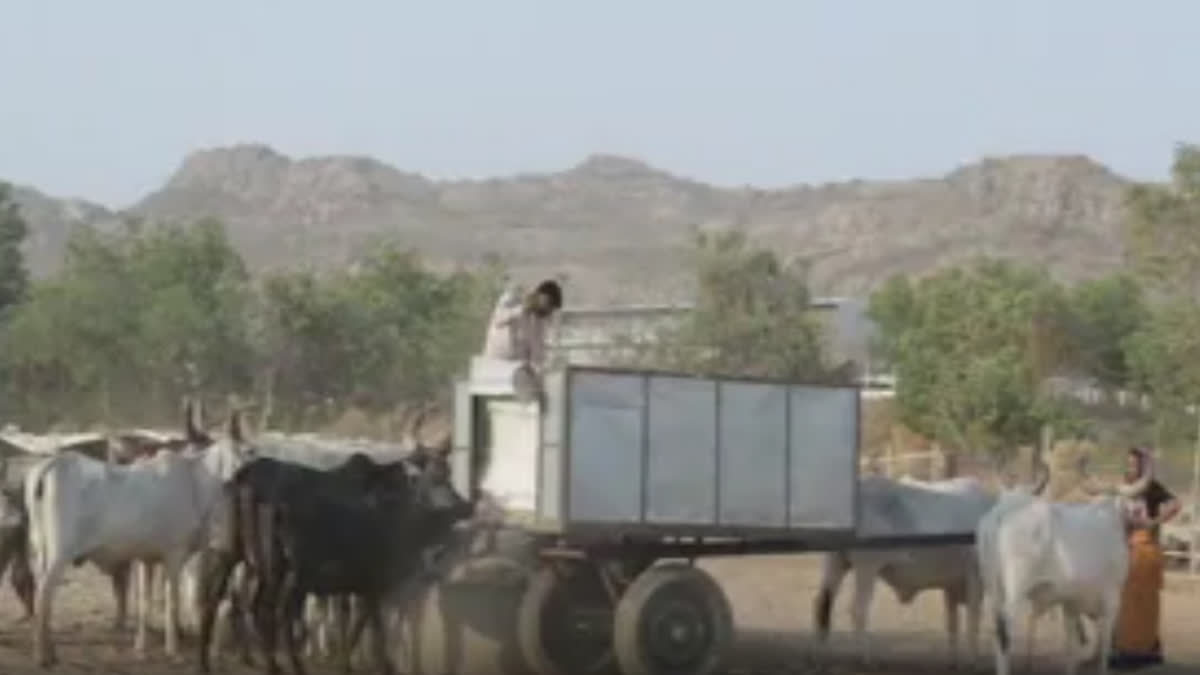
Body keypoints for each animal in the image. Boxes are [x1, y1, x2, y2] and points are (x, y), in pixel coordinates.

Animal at [25, 408, 253, 658]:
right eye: (249, 451)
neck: (196, 483)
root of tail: (52, 463)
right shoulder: (174, 554)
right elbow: (172, 600)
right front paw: (173, 649)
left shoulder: (146, 559)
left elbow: (145, 601)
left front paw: (140, 647)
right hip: (60, 553)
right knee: (44, 593)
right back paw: (43, 656)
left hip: (41, 549)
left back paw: (49, 650)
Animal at [816, 473, 993, 667]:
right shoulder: (975, 579)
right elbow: (973, 622)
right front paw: (973, 659)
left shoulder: (951, 585)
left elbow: (952, 623)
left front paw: (953, 660)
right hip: (867, 568)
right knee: (858, 610)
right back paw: (865, 657)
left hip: (836, 563)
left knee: (823, 604)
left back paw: (823, 653)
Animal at [979, 470, 1128, 667]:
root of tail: (1001, 514)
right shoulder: (1111, 598)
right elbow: (1103, 648)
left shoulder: (1072, 603)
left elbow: (1073, 646)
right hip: (1015, 589)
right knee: (1005, 628)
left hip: (993, 587)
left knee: (997, 627)